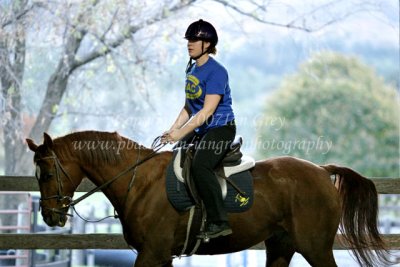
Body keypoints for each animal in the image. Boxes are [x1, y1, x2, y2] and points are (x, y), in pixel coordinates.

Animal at [25, 131, 390, 266]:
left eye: (47, 174)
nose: (50, 216)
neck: (137, 181)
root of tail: (321, 170)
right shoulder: (162, 256)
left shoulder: (151, 253)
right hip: (281, 245)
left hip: (315, 246)